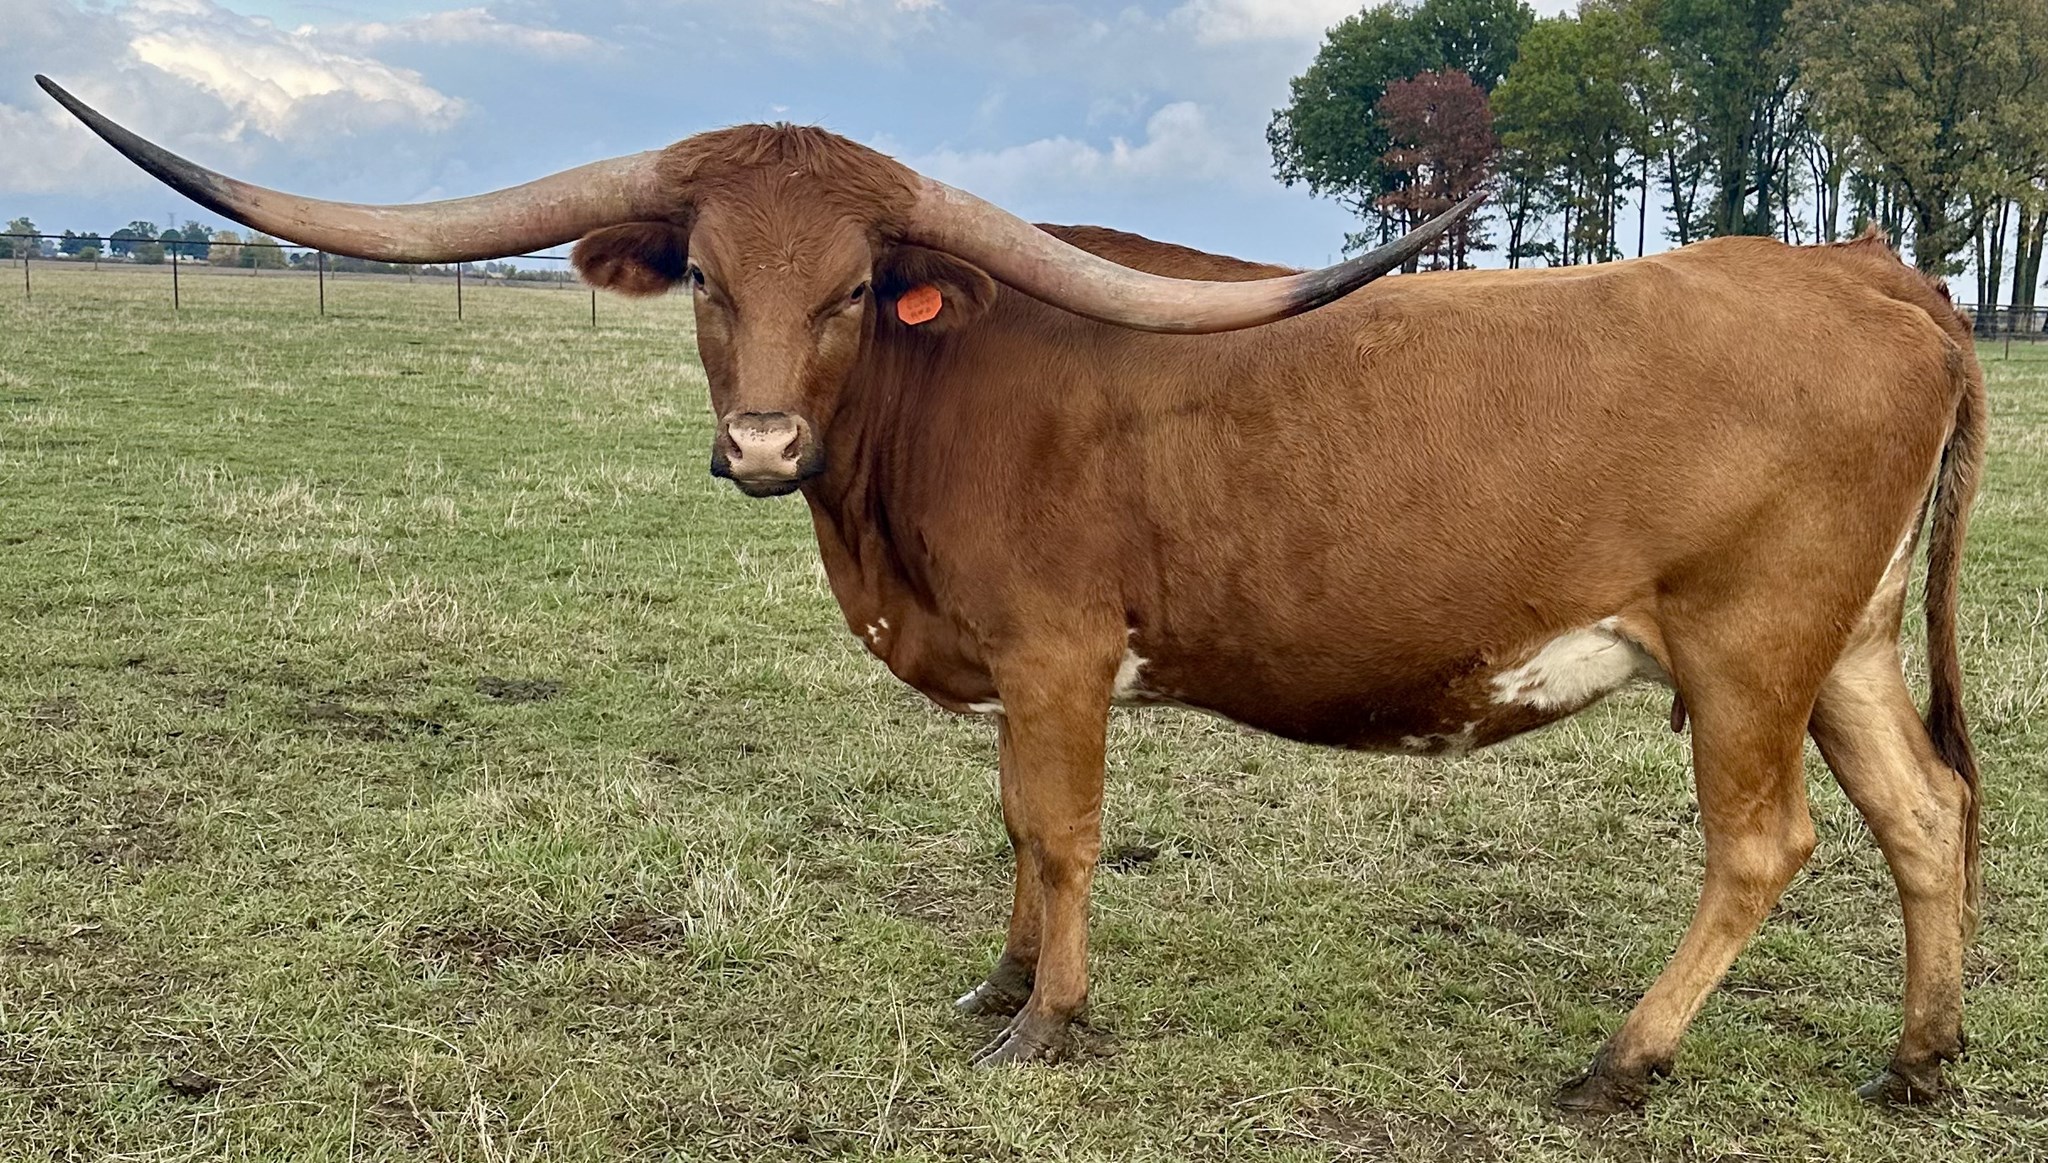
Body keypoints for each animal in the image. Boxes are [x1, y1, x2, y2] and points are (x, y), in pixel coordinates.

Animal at [42, 74, 1987, 1113]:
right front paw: (994, 981)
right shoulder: (1000, 659)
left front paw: (1050, 1016)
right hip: (1845, 645)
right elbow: (1001, 826)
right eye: (708, 278)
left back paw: (1622, 1060)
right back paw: (1919, 1055)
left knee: (1765, 843)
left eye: (851, 287)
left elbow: (1055, 827)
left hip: (1744, 647)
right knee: (1924, 812)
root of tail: (1868, 270)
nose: (760, 442)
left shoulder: (1057, 653)